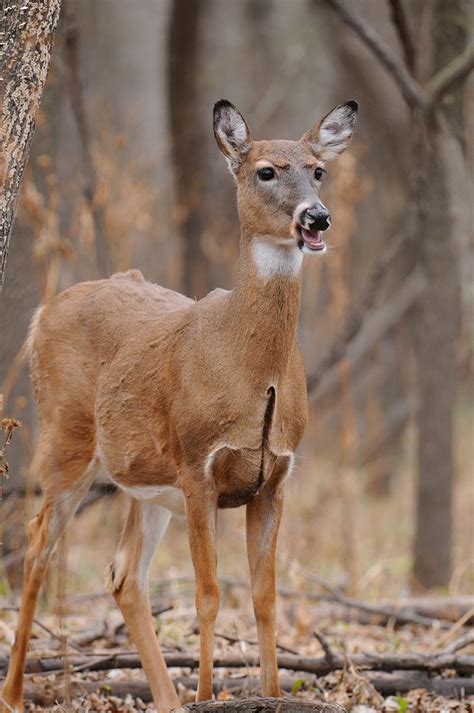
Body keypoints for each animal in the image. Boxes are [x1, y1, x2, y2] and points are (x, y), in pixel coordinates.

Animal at [0, 98, 356, 712]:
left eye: (318, 170)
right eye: (265, 170)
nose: (316, 218)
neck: (255, 374)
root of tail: (42, 314)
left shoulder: (277, 475)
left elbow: (265, 599)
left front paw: (266, 693)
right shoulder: (197, 466)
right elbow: (208, 594)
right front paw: (210, 695)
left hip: (147, 483)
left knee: (123, 573)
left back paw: (166, 698)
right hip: (65, 436)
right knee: (38, 543)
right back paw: (15, 694)